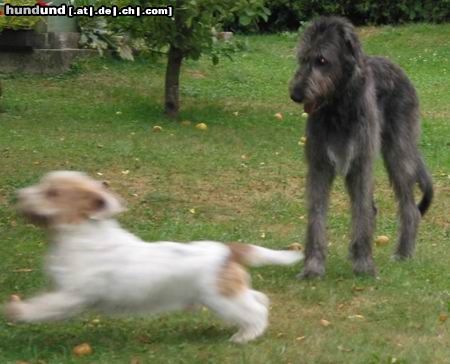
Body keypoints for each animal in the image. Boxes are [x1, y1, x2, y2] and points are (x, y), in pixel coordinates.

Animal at [288, 16, 432, 278]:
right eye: (302, 58)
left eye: (321, 60)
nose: (296, 94)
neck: (338, 107)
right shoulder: (319, 164)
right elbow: (316, 215)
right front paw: (313, 267)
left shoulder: (361, 163)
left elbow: (362, 211)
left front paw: (364, 264)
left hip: (398, 152)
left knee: (408, 207)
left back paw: (403, 252)